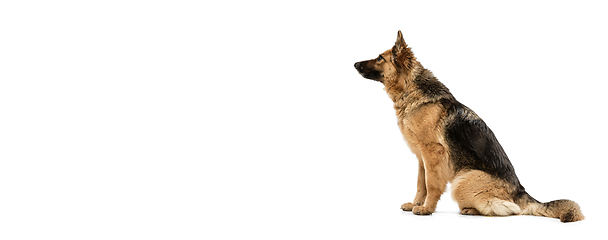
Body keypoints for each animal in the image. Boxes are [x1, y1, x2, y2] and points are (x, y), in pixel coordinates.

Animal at [354, 31, 580, 222]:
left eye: (380, 58)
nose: (355, 63)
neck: (411, 89)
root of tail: (520, 192)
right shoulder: (421, 157)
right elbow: (420, 183)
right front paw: (416, 204)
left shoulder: (433, 154)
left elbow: (431, 184)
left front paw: (426, 209)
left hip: (462, 181)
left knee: (511, 210)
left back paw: (472, 210)